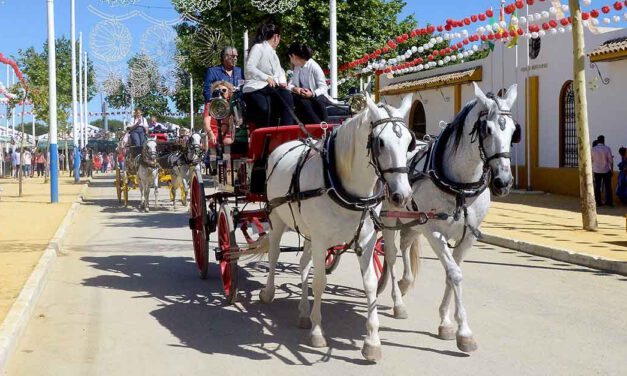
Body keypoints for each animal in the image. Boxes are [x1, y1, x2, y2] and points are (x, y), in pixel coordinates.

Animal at [253, 94, 420, 362]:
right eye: (381, 142)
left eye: (408, 144)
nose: (402, 195)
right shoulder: (322, 239)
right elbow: (320, 282)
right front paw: (317, 332)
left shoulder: (366, 238)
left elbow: (370, 284)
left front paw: (372, 341)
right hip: (278, 219)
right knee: (275, 253)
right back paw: (269, 293)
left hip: (308, 231)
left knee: (303, 263)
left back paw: (303, 311)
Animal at [378, 82, 520, 352]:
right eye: (486, 129)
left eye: (514, 131)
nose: (503, 182)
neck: (460, 186)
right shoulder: (434, 232)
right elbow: (454, 274)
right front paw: (464, 332)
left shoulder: (468, 237)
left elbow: (450, 273)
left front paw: (445, 322)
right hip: (390, 217)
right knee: (390, 255)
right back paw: (397, 300)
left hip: (412, 220)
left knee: (405, 245)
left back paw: (404, 282)